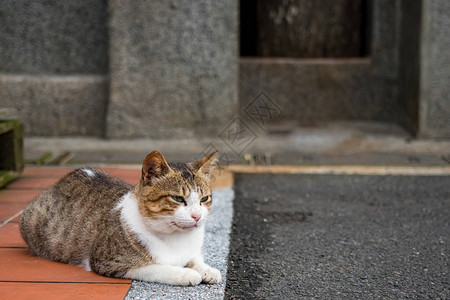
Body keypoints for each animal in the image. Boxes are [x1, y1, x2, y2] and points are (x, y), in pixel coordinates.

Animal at [20, 150, 222, 286]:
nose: (197, 216)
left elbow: (195, 258)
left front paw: (207, 269)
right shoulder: (109, 262)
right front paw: (185, 274)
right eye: (178, 198)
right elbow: (158, 268)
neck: (175, 236)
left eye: (204, 199)